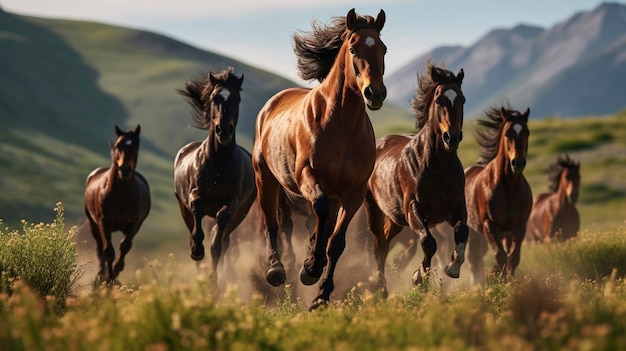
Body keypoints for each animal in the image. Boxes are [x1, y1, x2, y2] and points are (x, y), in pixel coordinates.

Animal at [84, 125, 151, 284]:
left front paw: (116, 272)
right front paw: (108, 280)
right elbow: (108, 251)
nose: (124, 170)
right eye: (118, 145)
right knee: (99, 246)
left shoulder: (134, 224)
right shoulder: (103, 222)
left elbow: (124, 246)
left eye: (136, 146)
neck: (120, 194)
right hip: (92, 222)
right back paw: (101, 274)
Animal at [172, 67, 255, 284]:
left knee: (224, 241)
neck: (218, 163)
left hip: (240, 215)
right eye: (213, 98)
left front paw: (214, 281)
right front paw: (197, 251)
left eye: (237, 99)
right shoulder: (194, 194)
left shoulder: (233, 203)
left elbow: (218, 243)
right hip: (183, 208)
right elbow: (198, 210)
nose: (223, 130)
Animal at [250, 8, 386, 310]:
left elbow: (336, 243)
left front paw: (321, 295)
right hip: (266, 179)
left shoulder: (353, 192)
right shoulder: (307, 176)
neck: (341, 125)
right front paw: (310, 268)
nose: (375, 93)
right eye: (353, 48)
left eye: (383, 49)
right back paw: (276, 270)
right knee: (272, 224)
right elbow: (319, 209)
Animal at [364, 62, 466, 296]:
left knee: (385, 242)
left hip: (395, 219)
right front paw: (419, 277)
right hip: (374, 209)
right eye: (439, 100)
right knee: (379, 246)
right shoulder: (414, 209)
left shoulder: (457, 207)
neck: (438, 167)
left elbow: (462, 232)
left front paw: (453, 267)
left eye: (462, 99)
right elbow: (429, 242)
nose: (452, 137)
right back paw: (381, 289)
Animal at [464, 106, 532, 284]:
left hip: (504, 233)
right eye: (507, 133)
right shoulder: (489, 225)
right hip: (473, 230)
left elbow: (513, 257)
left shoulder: (519, 227)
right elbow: (500, 255)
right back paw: (477, 284)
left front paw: (510, 282)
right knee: (473, 258)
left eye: (527, 132)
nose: (518, 163)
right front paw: (501, 282)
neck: (508, 188)